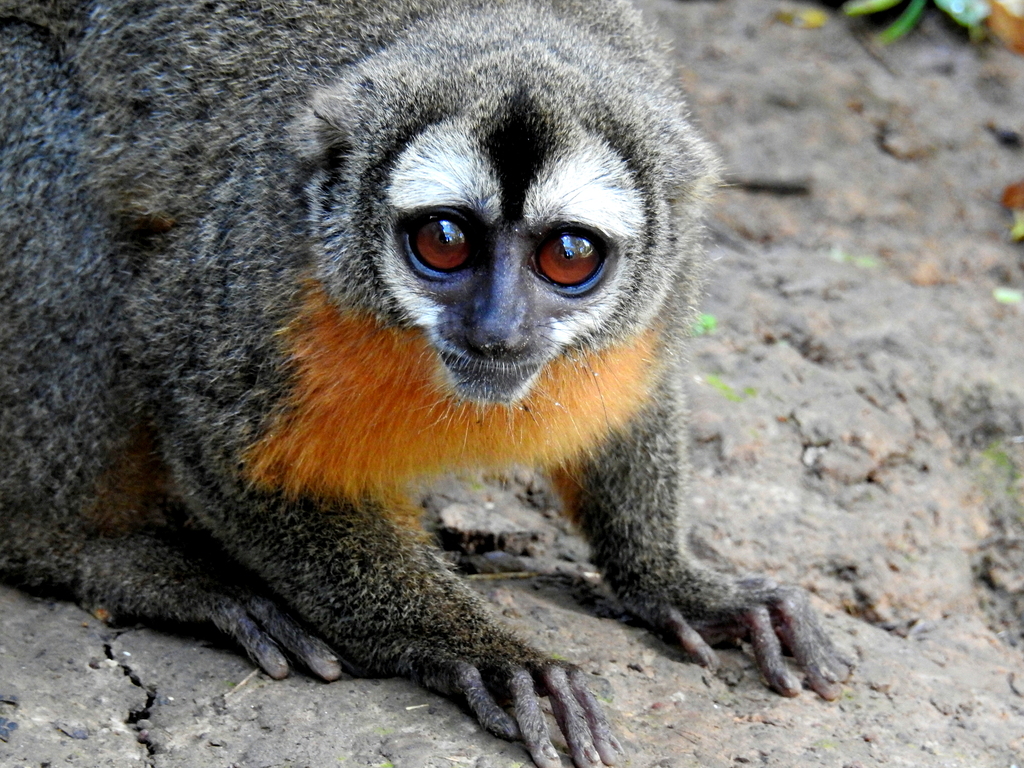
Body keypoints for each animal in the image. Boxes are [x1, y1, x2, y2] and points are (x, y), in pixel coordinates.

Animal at [0, 2, 853, 766]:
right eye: (444, 241)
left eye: (569, 255)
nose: (498, 330)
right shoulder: (259, 262)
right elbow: (218, 437)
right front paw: (481, 649)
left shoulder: (666, 281)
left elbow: (631, 404)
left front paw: (675, 582)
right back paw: (105, 557)